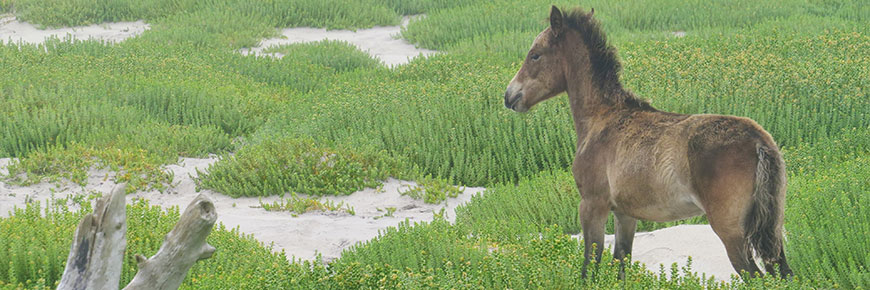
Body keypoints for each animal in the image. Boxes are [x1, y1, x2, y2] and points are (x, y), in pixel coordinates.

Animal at [504, 6, 796, 278]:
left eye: (535, 54)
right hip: (771, 228)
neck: (601, 118)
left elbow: (591, 265)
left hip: (731, 231)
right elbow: (620, 264)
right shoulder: (625, 214)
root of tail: (759, 141)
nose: (509, 96)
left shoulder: (591, 205)